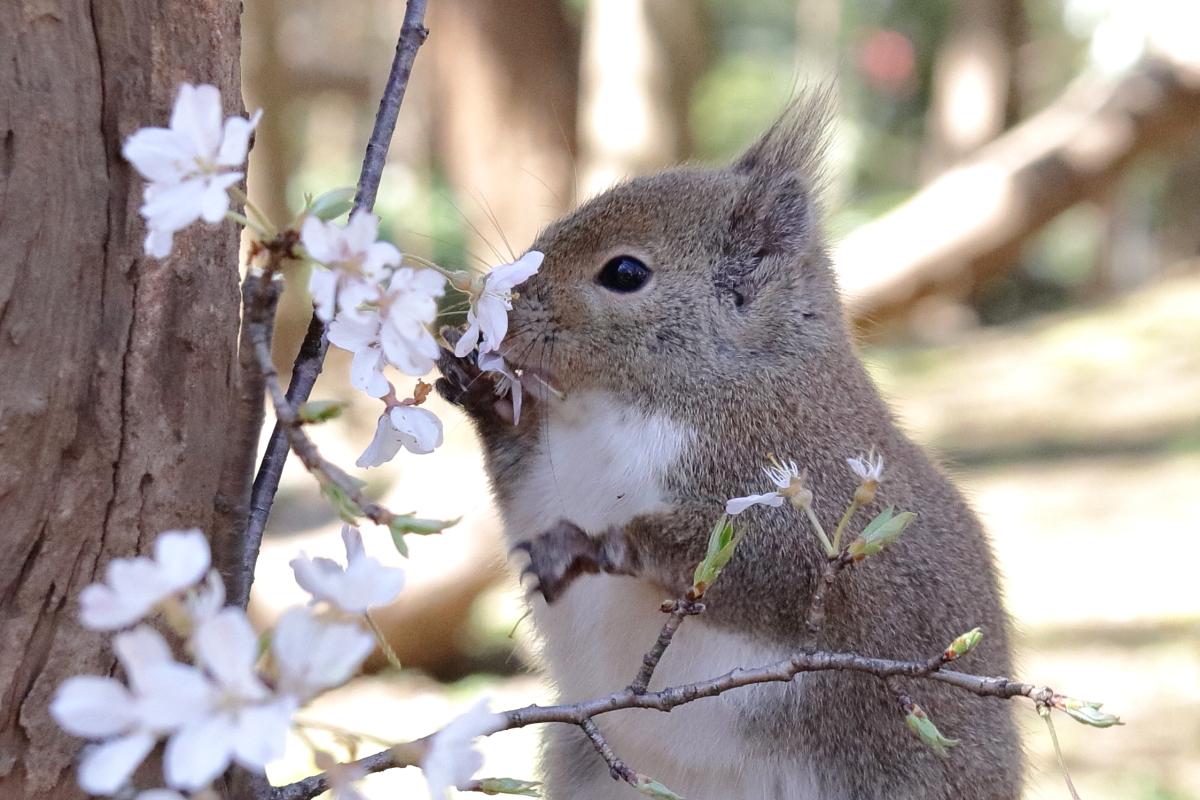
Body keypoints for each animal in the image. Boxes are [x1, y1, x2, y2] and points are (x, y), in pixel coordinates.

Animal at [436, 95, 1017, 800]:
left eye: (624, 273)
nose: (504, 307)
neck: (619, 405)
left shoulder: (805, 484)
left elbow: (760, 564)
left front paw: (591, 544)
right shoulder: (548, 473)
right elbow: (519, 488)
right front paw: (478, 387)